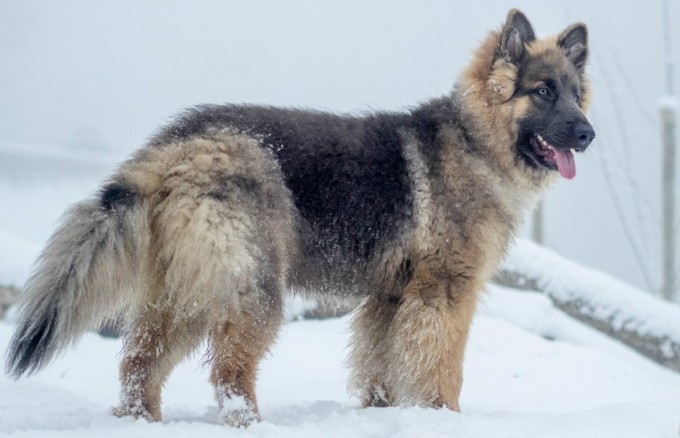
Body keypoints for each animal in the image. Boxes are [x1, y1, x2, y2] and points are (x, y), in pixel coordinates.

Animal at [5, 10, 592, 426]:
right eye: (543, 92)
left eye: (576, 94)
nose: (588, 134)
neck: (476, 140)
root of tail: (179, 143)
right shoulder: (442, 295)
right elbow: (442, 369)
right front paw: (444, 419)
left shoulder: (391, 298)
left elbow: (380, 366)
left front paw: (380, 415)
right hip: (253, 285)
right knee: (228, 372)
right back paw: (249, 423)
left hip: (186, 286)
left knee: (139, 363)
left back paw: (139, 420)